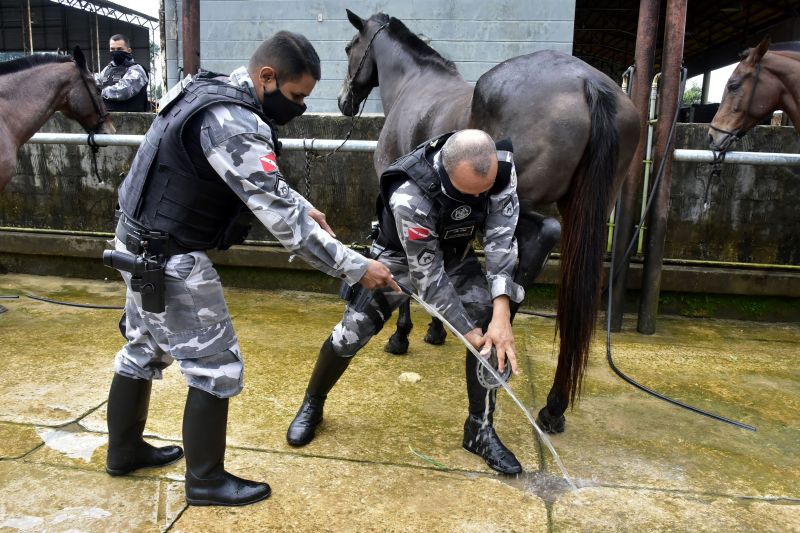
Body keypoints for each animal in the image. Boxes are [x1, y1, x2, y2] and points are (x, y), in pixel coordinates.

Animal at [340, 10, 640, 430]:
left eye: (349, 47)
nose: (344, 101)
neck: (413, 84)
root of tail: (590, 83)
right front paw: (438, 329)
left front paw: (402, 336)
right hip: (586, 213)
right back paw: (553, 404)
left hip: (516, 203)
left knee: (541, 236)